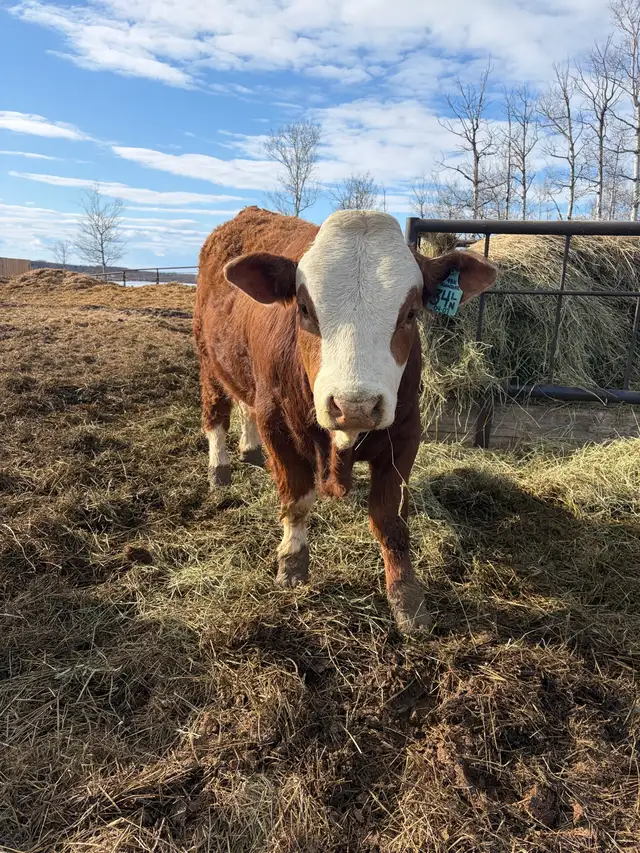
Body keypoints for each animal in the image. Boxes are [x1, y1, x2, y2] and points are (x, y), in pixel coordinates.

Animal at [194, 206, 496, 632]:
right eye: (304, 309)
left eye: (411, 312)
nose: (355, 405)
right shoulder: (277, 425)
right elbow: (297, 500)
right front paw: (292, 562)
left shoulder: (406, 433)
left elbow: (389, 519)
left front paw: (407, 599)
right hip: (208, 359)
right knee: (217, 414)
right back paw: (219, 470)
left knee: (244, 405)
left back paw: (250, 449)